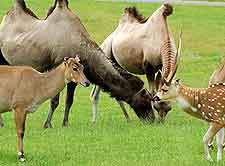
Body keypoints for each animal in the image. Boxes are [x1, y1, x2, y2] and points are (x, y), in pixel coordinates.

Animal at [0, 0, 156, 127]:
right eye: (146, 99)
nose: (152, 119)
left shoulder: (75, 76)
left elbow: (69, 101)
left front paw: (65, 123)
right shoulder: (58, 67)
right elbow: (54, 100)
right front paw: (48, 124)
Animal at [155, 31, 225, 162]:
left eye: (164, 89)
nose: (155, 97)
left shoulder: (217, 118)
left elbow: (205, 138)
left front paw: (209, 159)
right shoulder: (221, 120)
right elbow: (219, 142)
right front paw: (218, 160)